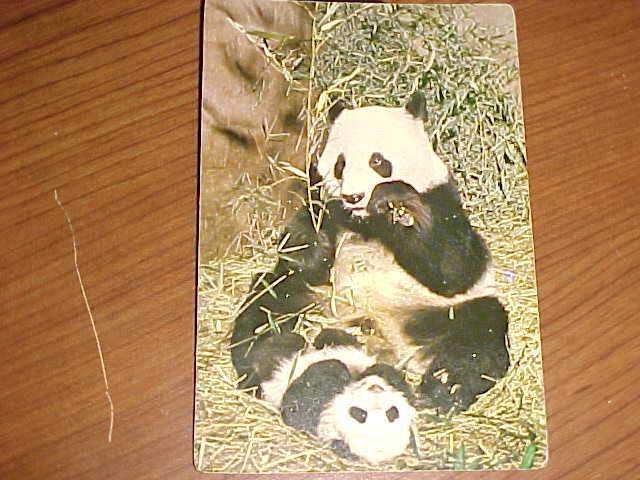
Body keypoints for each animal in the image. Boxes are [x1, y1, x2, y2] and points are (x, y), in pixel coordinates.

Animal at [231, 91, 509, 418]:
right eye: (340, 164)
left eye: (377, 160)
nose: (354, 196)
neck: (365, 220)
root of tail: (392, 346)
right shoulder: (325, 207)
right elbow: (299, 251)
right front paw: (315, 246)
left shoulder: (441, 198)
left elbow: (454, 267)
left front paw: (401, 205)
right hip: (318, 300)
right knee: (270, 301)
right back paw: (262, 359)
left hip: (437, 311)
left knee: (478, 332)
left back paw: (442, 391)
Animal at [231, 325, 416, 463]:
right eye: (393, 412)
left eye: (360, 414)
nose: (374, 387)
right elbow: (390, 375)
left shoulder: (317, 418)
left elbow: (296, 404)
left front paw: (335, 369)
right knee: (317, 339)